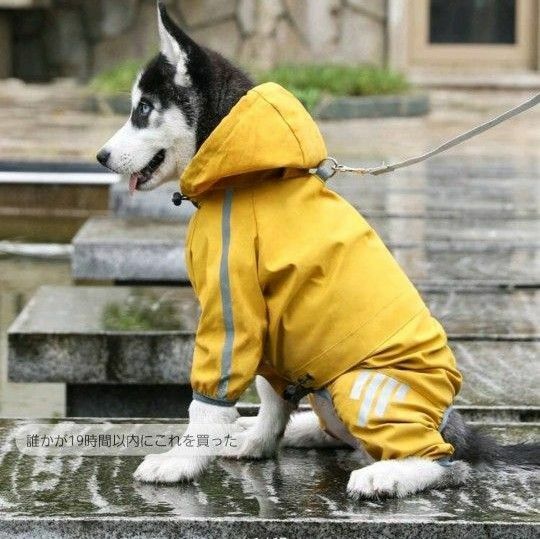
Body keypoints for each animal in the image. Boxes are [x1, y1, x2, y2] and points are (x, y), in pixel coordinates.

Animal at [98, 2, 540, 500]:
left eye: (143, 109)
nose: (100, 157)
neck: (243, 172)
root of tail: (451, 426)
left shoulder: (233, 308)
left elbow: (208, 404)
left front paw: (181, 461)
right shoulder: (269, 326)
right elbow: (270, 396)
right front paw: (258, 440)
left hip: (365, 385)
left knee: (442, 463)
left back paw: (388, 473)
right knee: (343, 433)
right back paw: (303, 430)